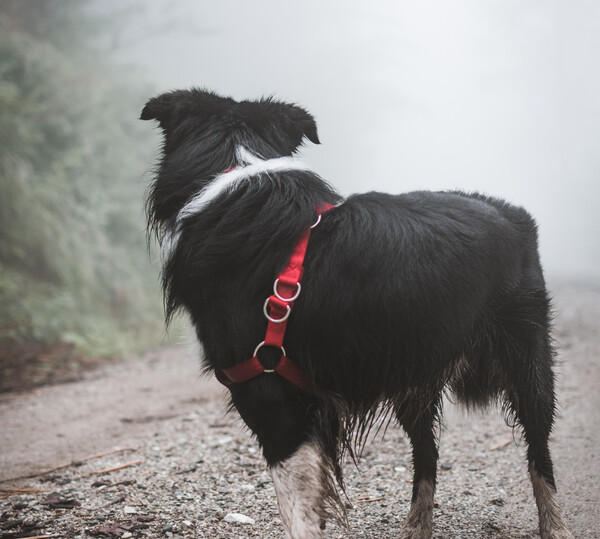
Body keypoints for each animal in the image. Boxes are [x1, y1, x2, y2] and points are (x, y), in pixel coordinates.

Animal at [139, 89, 572, 539]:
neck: (236, 171)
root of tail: (511, 212)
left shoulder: (270, 395)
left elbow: (298, 513)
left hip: (526, 361)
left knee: (539, 452)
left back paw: (554, 525)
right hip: (413, 373)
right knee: (427, 455)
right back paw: (416, 527)